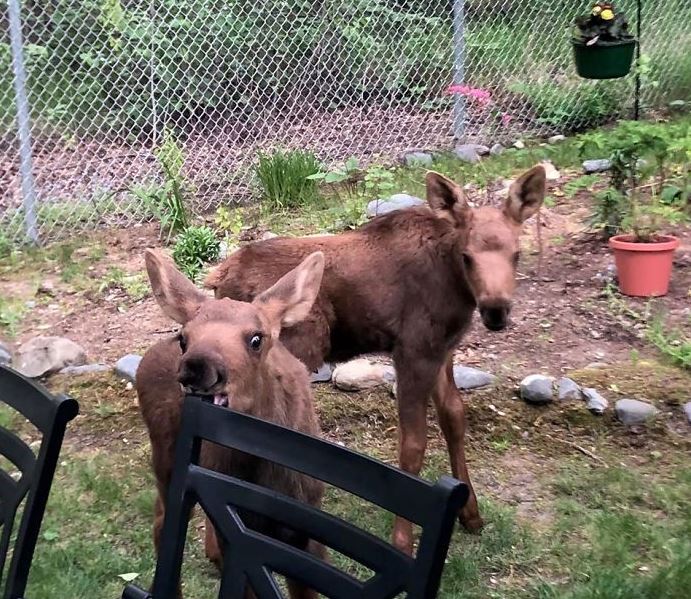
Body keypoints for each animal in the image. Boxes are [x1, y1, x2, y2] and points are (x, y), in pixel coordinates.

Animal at [139, 247, 330, 596]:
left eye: (257, 339)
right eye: (184, 338)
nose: (196, 367)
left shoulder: (306, 532)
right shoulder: (240, 540)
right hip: (165, 461)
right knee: (162, 523)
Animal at [205, 166, 548, 556]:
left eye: (517, 254)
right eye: (467, 256)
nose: (496, 311)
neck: (456, 288)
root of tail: (218, 277)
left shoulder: (443, 349)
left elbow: (454, 419)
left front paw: (471, 514)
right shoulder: (413, 351)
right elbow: (412, 445)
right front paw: (403, 542)